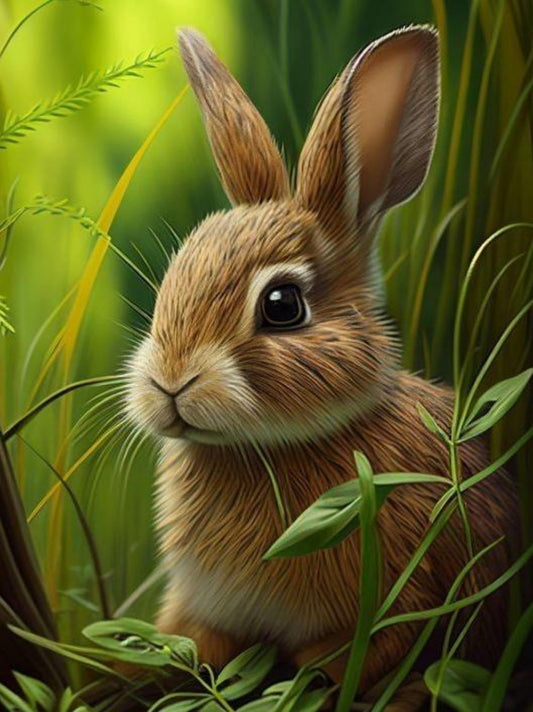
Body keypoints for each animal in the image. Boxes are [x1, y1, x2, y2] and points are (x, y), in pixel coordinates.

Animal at [125, 25, 518, 705]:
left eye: (282, 305)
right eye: (171, 283)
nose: (168, 382)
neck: (263, 451)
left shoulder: (403, 590)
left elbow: (365, 656)